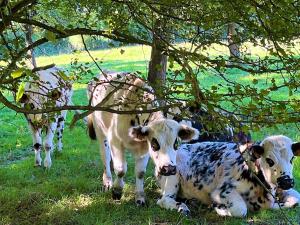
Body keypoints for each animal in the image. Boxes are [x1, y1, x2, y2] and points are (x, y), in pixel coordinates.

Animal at [86, 72, 199, 206]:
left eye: (176, 144)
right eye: (155, 144)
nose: (169, 169)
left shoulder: (144, 149)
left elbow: (140, 173)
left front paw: (140, 198)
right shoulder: (115, 141)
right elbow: (121, 170)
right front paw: (117, 191)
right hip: (100, 130)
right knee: (105, 157)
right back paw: (107, 181)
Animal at [156, 134, 300, 217]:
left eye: (292, 158)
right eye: (269, 160)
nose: (287, 181)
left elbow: (296, 199)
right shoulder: (222, 191)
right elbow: (240, 209)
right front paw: (219, 208)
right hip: (171, 174)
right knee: (164, 200)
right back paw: (183, 208)